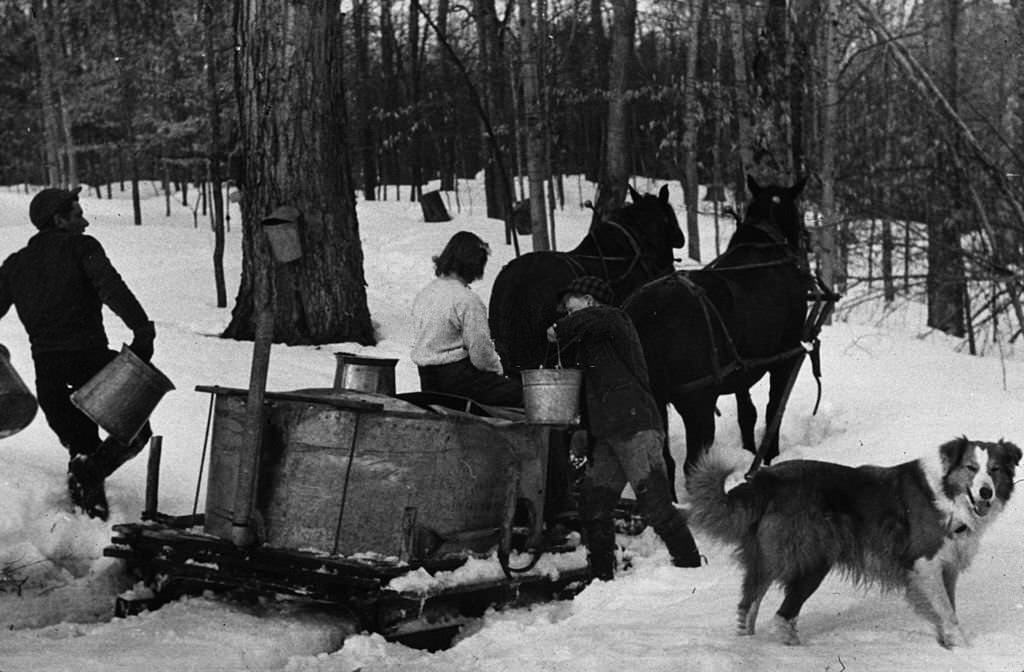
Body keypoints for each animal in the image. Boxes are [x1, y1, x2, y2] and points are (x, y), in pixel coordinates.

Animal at [622, 176, 815, 485]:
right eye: (797, 212)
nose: (806, 238)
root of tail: (644, 317)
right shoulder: (784, 357)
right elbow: (774, 410)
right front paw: (769, 457)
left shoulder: (742, 369)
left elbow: (747, 413)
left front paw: (750, 450)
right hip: (697, 401)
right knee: (691, 464)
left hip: (653, 401)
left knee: (663, 463)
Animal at [688, 438, 1015, 647]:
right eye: (971, 468)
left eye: (995, 469)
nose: (986, 493)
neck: (948, 494)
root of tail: (766, 479)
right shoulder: (925, 563)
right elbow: (948, 611)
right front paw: (964, 648)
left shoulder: (947, 567)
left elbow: (947, 608)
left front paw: (948, 646)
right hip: (813, 559)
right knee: (782, 615)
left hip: (770, 558)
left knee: (750, 605)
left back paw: (749, 647)